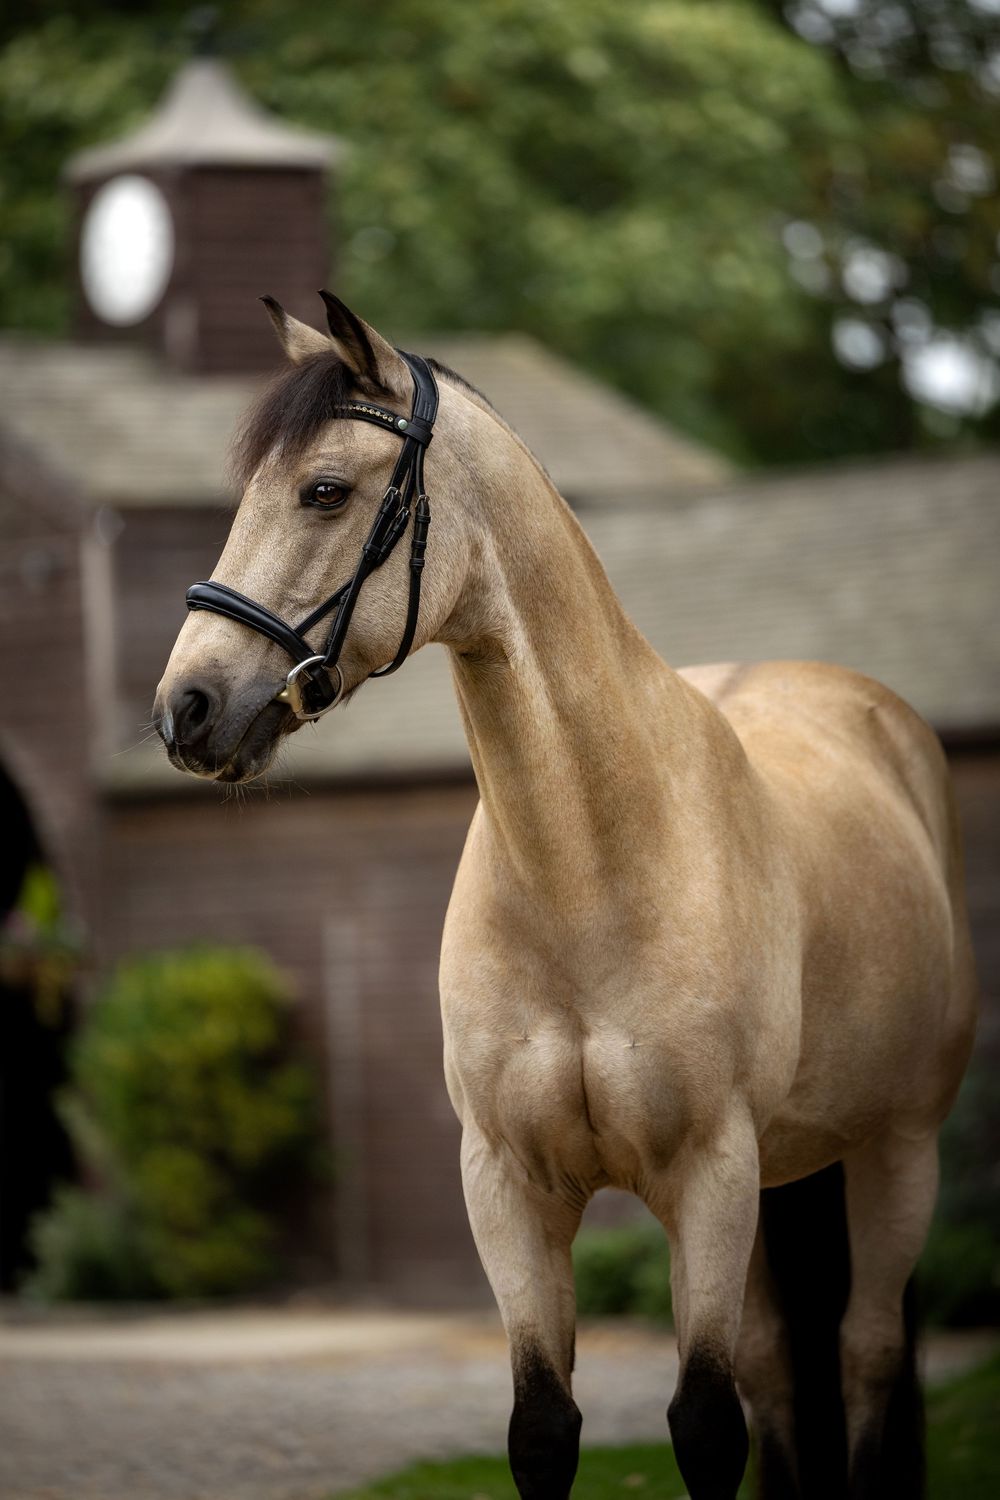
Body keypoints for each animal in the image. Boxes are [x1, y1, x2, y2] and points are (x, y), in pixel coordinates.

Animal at [154, 293, 977, 1500]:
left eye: (325, 490)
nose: (188, 708)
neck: (590, 870)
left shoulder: (710, 1175)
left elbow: (704, 1426)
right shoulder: (507, 1185)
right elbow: (544, 1426)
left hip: (896, 1153)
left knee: (867, 1355)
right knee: (785, 1367)